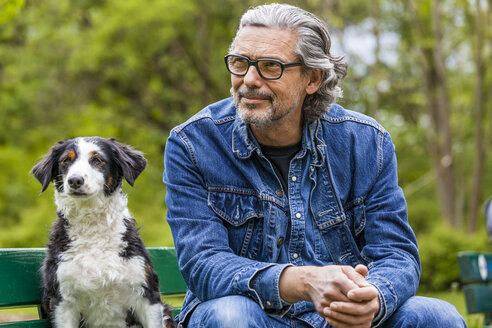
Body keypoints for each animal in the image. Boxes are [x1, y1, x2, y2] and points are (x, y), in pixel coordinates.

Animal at [31, 136, 177, 328]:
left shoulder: (147, 295)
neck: (93, 225)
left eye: (98, 160)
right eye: (66, 161)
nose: (75, 180)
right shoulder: (62, 303)